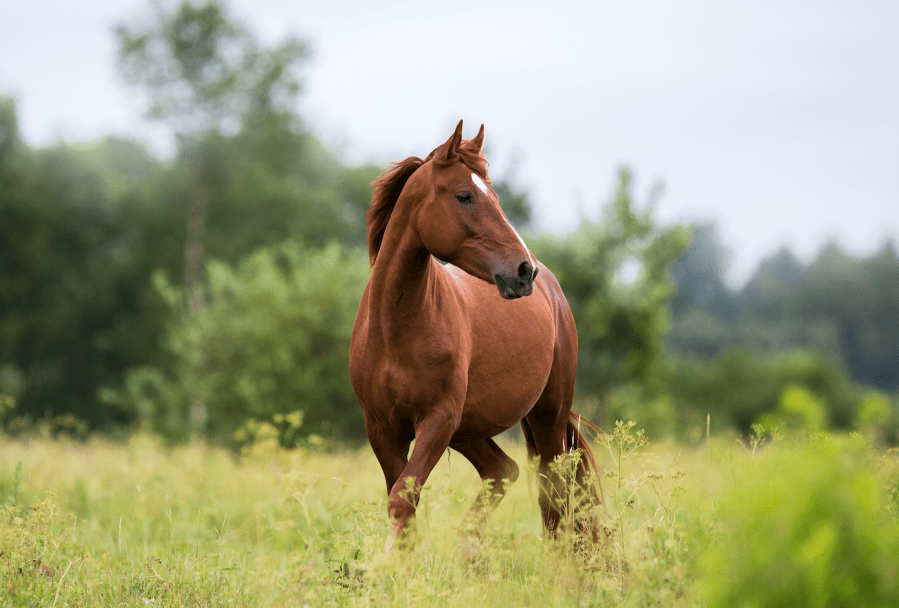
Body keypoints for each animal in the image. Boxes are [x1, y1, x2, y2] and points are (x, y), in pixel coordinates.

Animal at [352, 121, 604, 548]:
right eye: (464, 195)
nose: (524, 270)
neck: (395, 329)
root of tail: (552, 291)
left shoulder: (437, 420)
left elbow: (403, 500)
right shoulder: (383, 428)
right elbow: (402, 503)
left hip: (545, 418)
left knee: (554, 493)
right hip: (468, 429)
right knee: (503, 471)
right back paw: (468, 548)